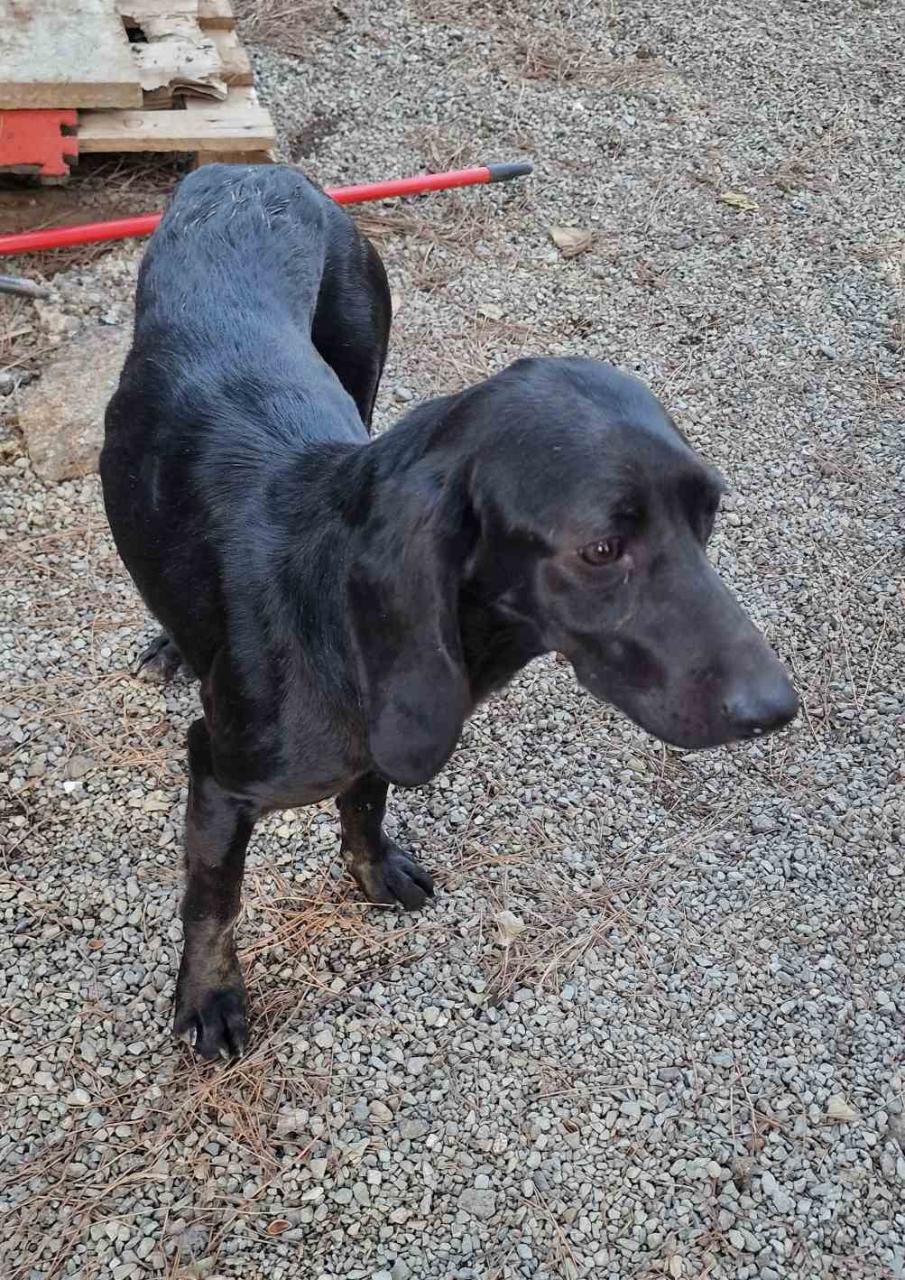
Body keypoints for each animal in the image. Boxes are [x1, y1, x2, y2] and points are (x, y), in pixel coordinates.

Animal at [101, 164, 798, 1059]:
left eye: (708, 513)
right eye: (601, 549)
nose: (776, 709)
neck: (323, 604)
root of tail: (249, 172)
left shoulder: (392, 717)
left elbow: (367, 797)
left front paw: (372, 868)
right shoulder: (219, 774)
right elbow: (212, 899)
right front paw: (209, 997)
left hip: (361, 353)